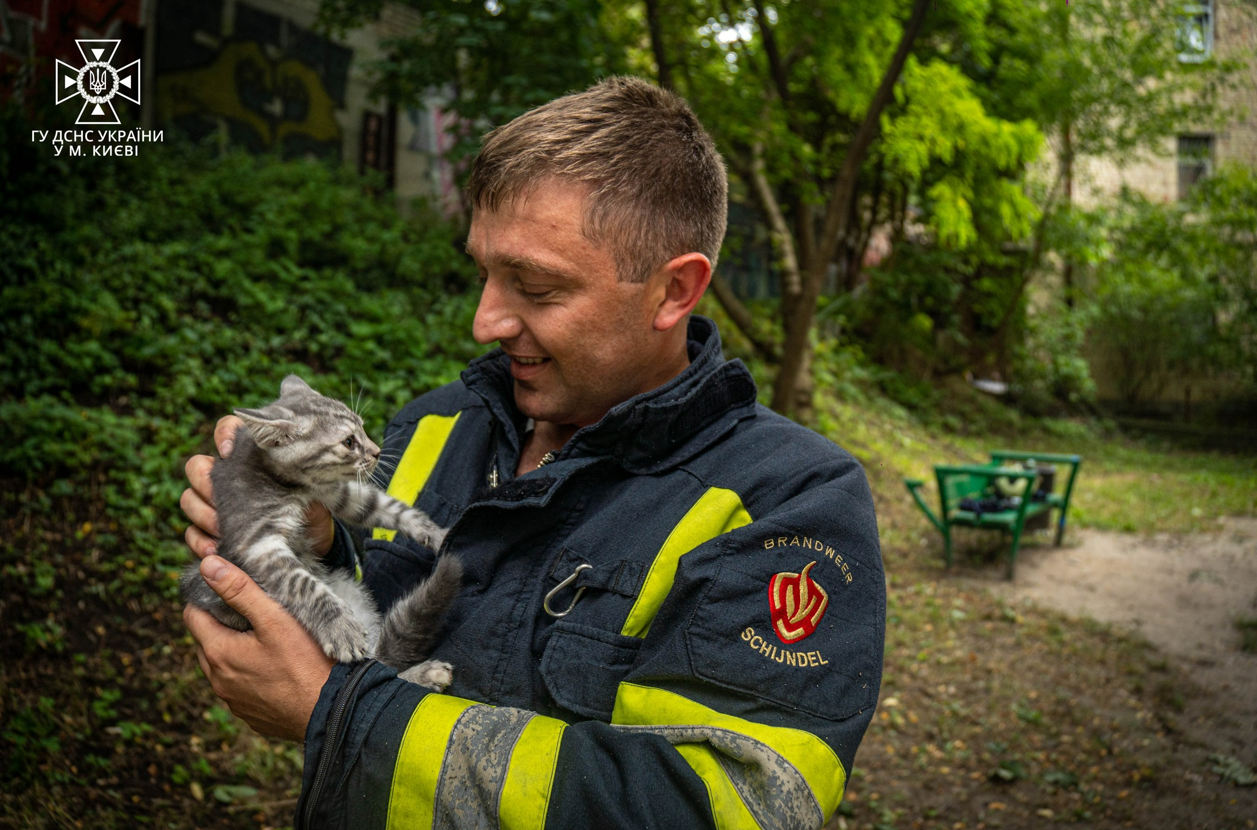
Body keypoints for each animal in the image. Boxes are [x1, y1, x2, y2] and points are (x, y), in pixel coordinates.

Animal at [182, 374, 462, 689]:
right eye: (349, 442)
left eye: (362, 427)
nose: (377, 452)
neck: (298, 486)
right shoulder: (257, 540)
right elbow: (302, 583)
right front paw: (338, 626)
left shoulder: (339, 494)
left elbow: (391, 508)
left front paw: (436, 533)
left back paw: (426, 674)